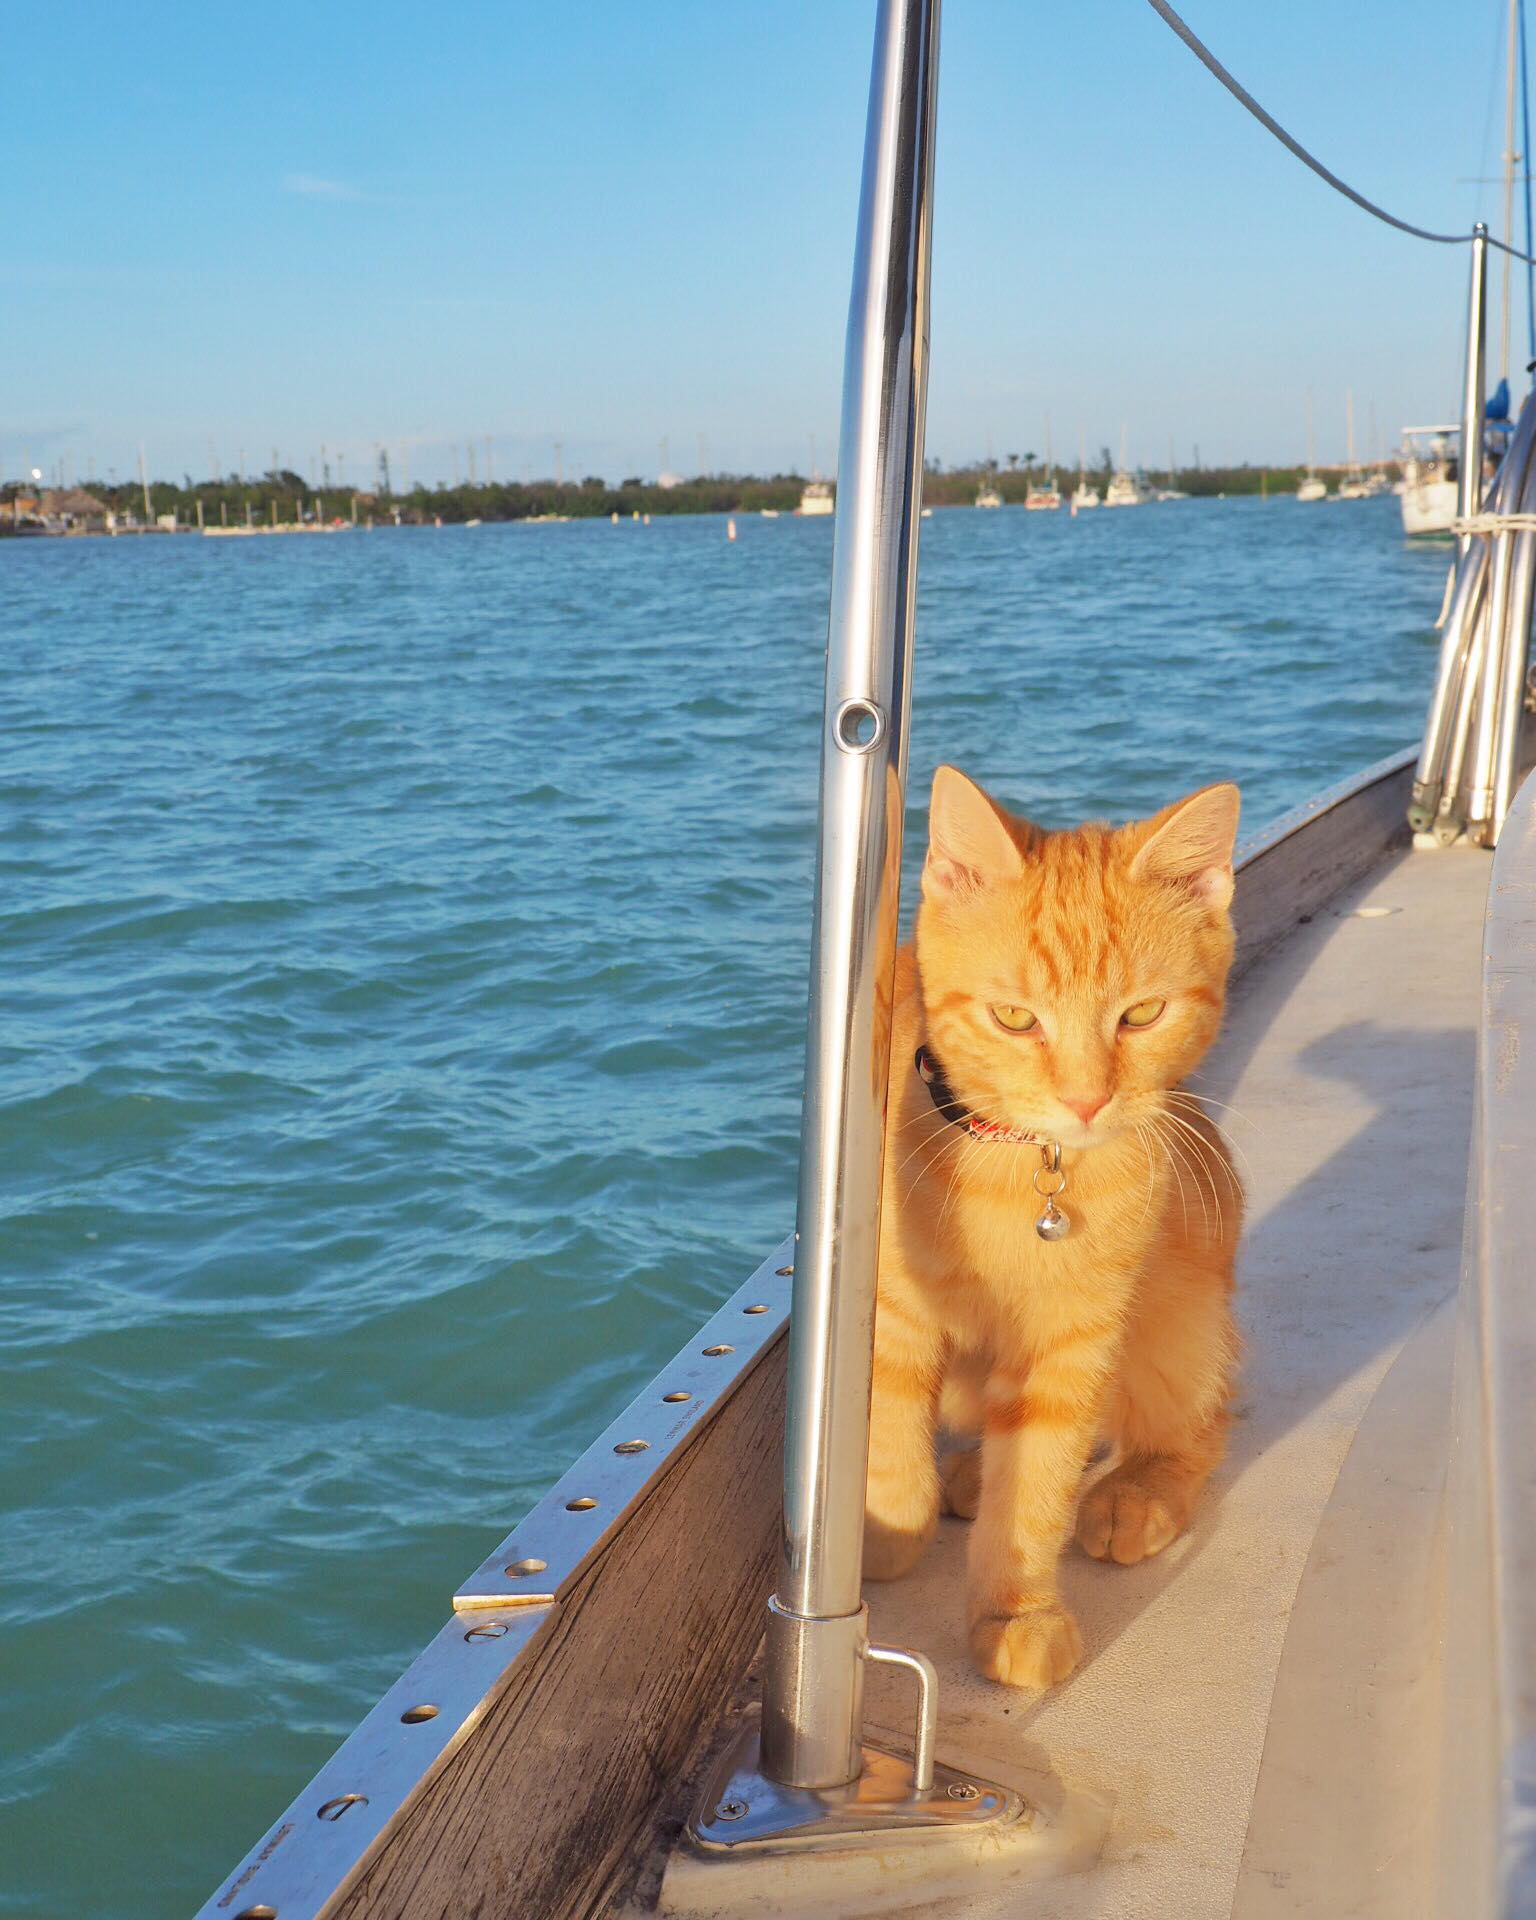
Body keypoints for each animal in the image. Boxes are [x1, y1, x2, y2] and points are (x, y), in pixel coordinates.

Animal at [864, 771, 1244, 1689]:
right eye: (1013, 1017)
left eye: (1142, 1015)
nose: (1085, 1099)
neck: (1017, 1166)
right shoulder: (886, 1303)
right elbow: (889, 1427)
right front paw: (889, 1529)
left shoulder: (1070, 1342)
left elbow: (1037, 1480)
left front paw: (1016, 1612)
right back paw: (965, 1473)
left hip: (1183, 1302)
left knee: (1197, 1421)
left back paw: (1134, 1495)